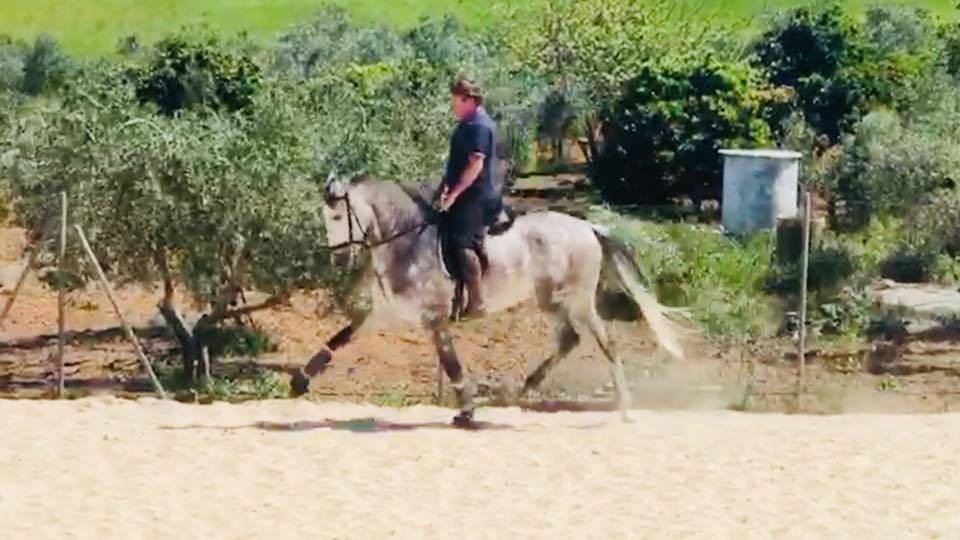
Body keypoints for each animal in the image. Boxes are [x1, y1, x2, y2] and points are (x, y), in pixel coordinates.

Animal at [290, 175, 689, 426]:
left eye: (337, 215)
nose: (339, 259)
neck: (407, 242)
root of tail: (589, 227)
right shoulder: (385, 314)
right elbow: (341, 337)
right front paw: (300, 380)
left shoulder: (434, 319)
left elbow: (451, 365)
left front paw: (466, 412)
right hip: (552, 301)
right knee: (569, 340)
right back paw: (520, 391)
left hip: (573, 300)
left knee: (604, 344)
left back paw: (624, 408)